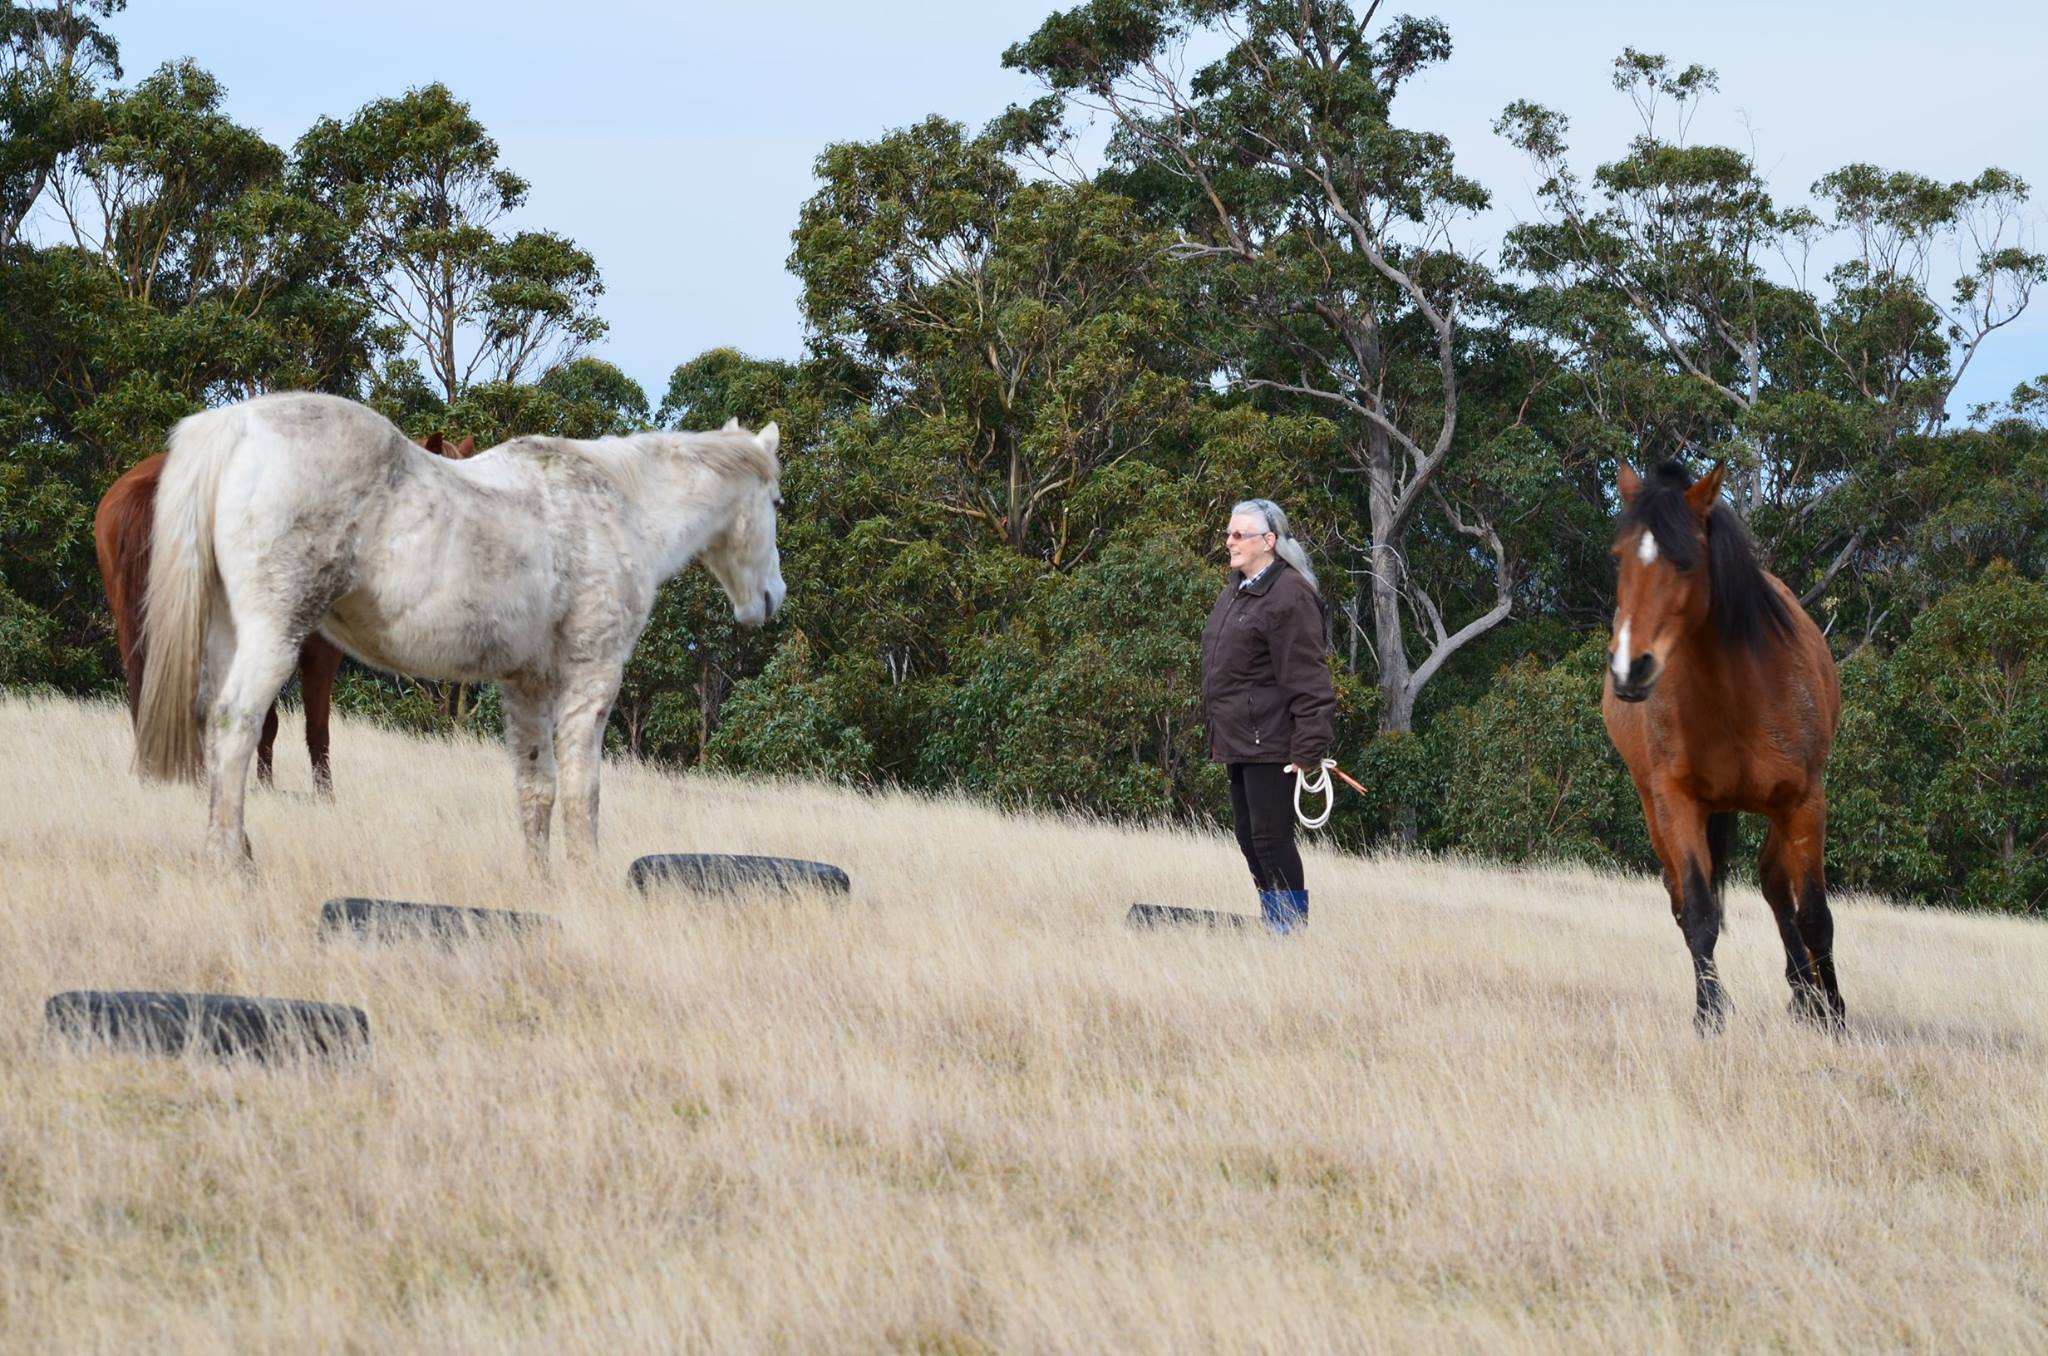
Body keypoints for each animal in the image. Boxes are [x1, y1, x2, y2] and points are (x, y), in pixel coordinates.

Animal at [1602, 461, 1845, 1033]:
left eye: (1687, 560)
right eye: (1619, 556)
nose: (1629, 668)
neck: (1736, 694)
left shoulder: (1804, 801)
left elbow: (1814, 915)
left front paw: (1834, 1014)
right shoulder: (1678, 803)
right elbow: (1698, 913)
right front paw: (1710, 1015)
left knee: (1776, 883)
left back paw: (1806, 994)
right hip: (1656, 811)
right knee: (1685, 897)